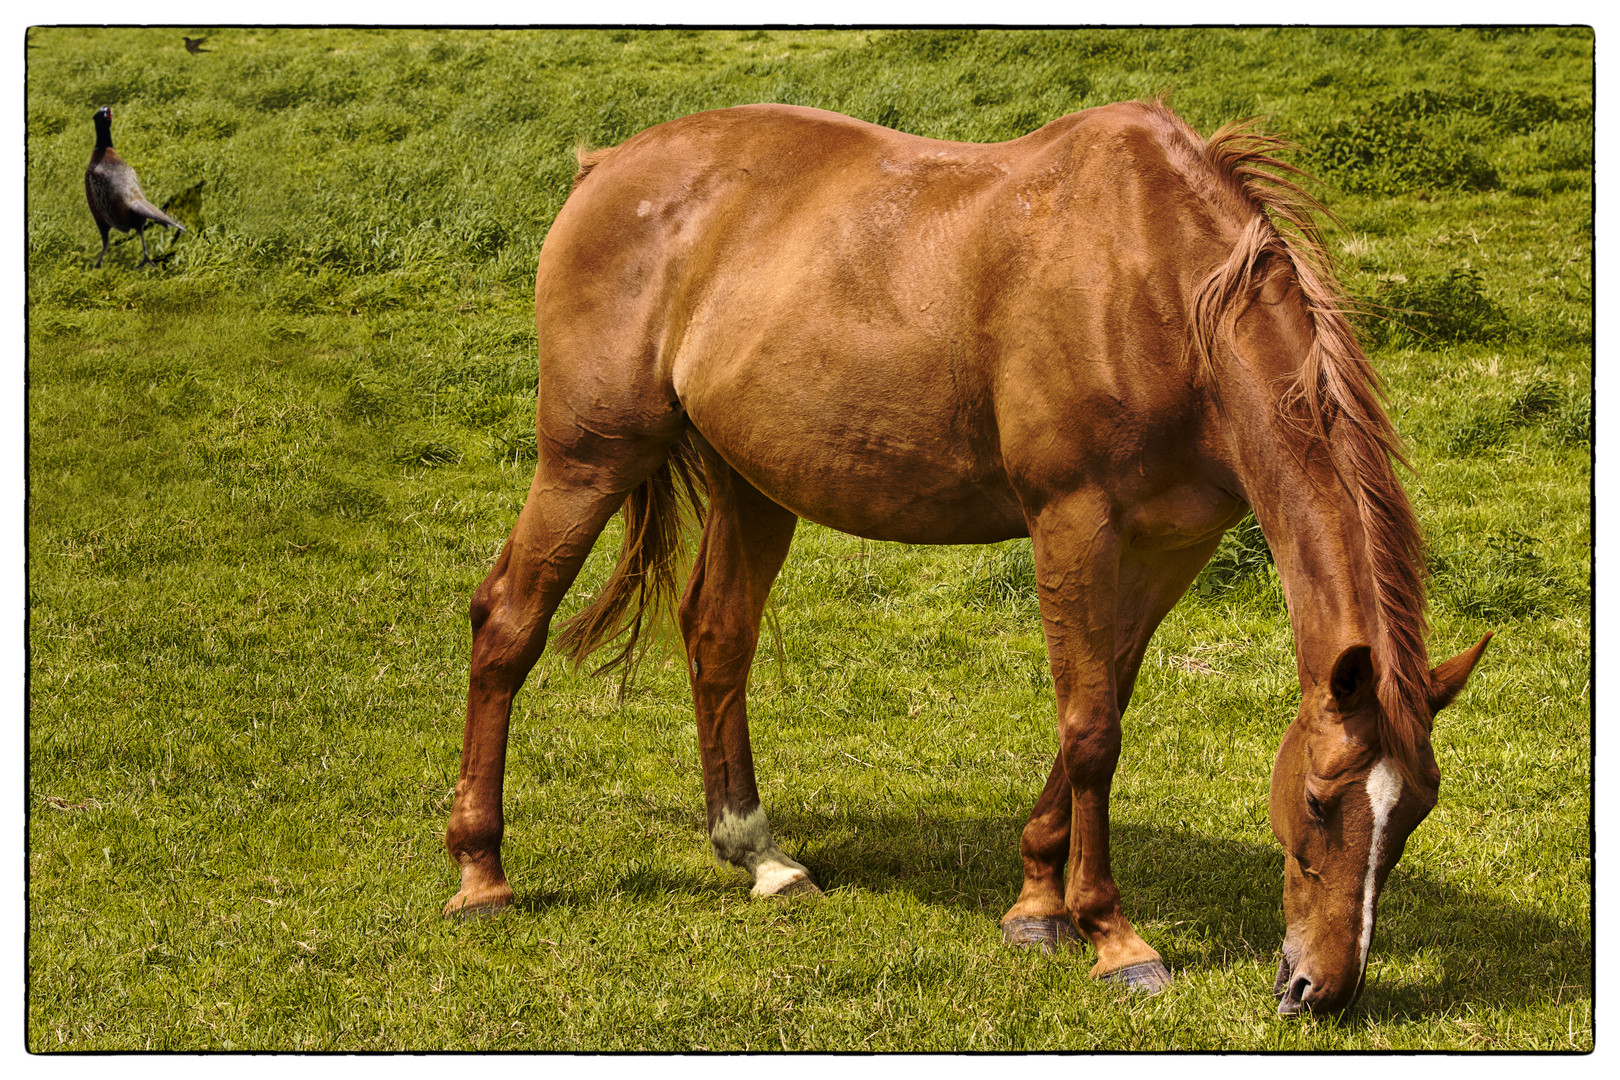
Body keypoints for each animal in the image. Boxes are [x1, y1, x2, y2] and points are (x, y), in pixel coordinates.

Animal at [443, 99, 1490, 1016]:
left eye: (1413, 813)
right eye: (1318, 802)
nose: (1319, 989)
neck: (1161, 290)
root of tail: (605, 169)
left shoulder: (1172, 548)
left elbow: (1104, 702)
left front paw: (1036, 902)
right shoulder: (1073, 522)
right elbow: (1092, 729)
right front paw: (1112, 937)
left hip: (754, 482)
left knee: (717, 639)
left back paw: (761, 856)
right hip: (589, 458)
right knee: (508, 623)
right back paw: (481, 873)